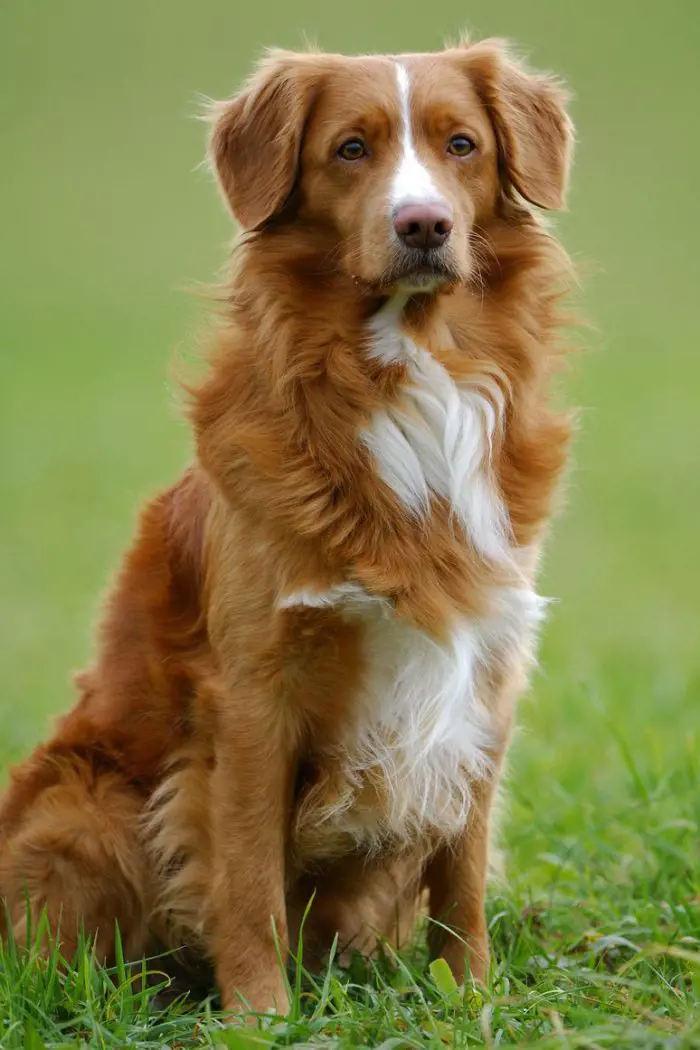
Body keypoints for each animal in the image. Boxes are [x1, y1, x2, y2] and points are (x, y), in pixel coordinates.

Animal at [0, 37, 575, 1012]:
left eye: (462, 145)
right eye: (351, 148)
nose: (424, 225)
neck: (407, 373)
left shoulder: (484, 675)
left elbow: (463, 870)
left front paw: (468, 999)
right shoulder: (251, 695)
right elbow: (247, 877)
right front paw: (260, 1014)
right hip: (83, 803)